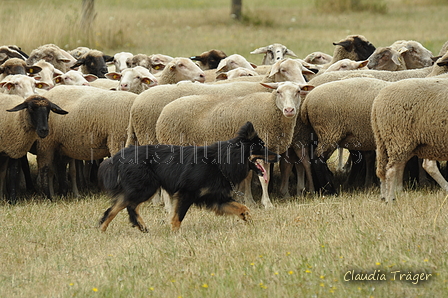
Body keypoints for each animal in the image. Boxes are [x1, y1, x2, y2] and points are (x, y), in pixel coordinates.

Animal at [98, 121, 280, 233]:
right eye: (262, 147)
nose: (279, 157)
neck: (220, 161)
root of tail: (120, 156)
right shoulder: (187, 193)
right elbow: (178, 217)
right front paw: (175, 234)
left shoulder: (215, 198)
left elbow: (242, 207)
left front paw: (247, 218)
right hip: (145, 188)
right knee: (124, 206)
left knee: (121, 207)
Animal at [156, 80, 314, 208]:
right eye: (278, 92)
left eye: (298, 92)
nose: (289, 110)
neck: (269, 110)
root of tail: (164, 110)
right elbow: (262, 179)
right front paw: (266, 204)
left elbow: (260, 177)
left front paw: (251, 201)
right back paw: (169, 206)